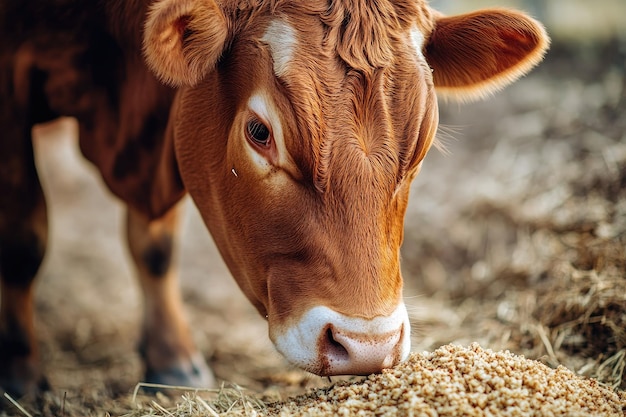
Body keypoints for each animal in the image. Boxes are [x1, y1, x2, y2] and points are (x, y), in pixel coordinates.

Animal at [0, 0, 544, 398]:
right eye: (260, 132)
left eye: (425, 140)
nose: (368, 346)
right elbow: (23, 240)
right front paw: (20, 376)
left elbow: (155, 247)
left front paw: (171, 359)